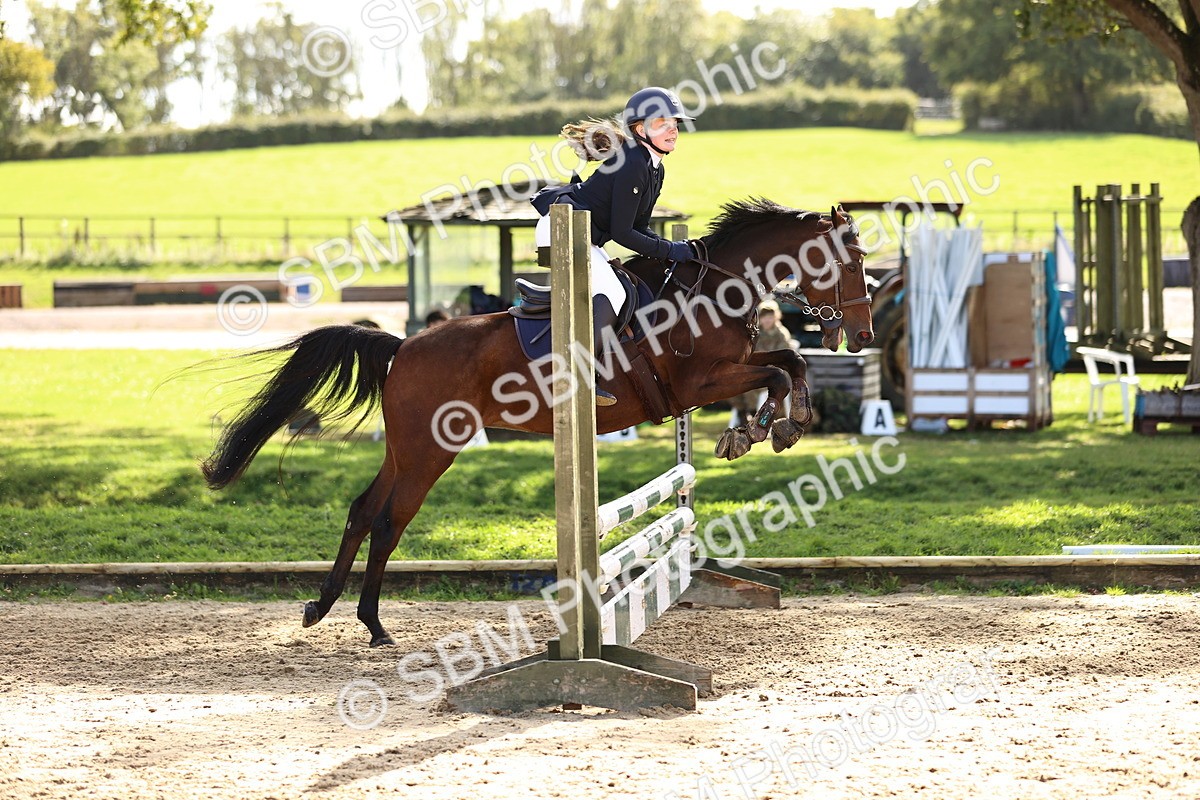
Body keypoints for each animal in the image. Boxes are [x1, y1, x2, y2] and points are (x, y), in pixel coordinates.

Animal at [201, 199, 873, 646]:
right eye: (850, 262)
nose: (863, 334)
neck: (714, 290)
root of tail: (404, 344)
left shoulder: (717, 378)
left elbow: (787, 364)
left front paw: (777, 424)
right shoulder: (697, 384)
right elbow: (779, 372)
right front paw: (762, 430)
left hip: (407, 449)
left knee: (365, 510)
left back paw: (337, 611)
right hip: (429, 451)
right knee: (389, 519)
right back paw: (367, 621)